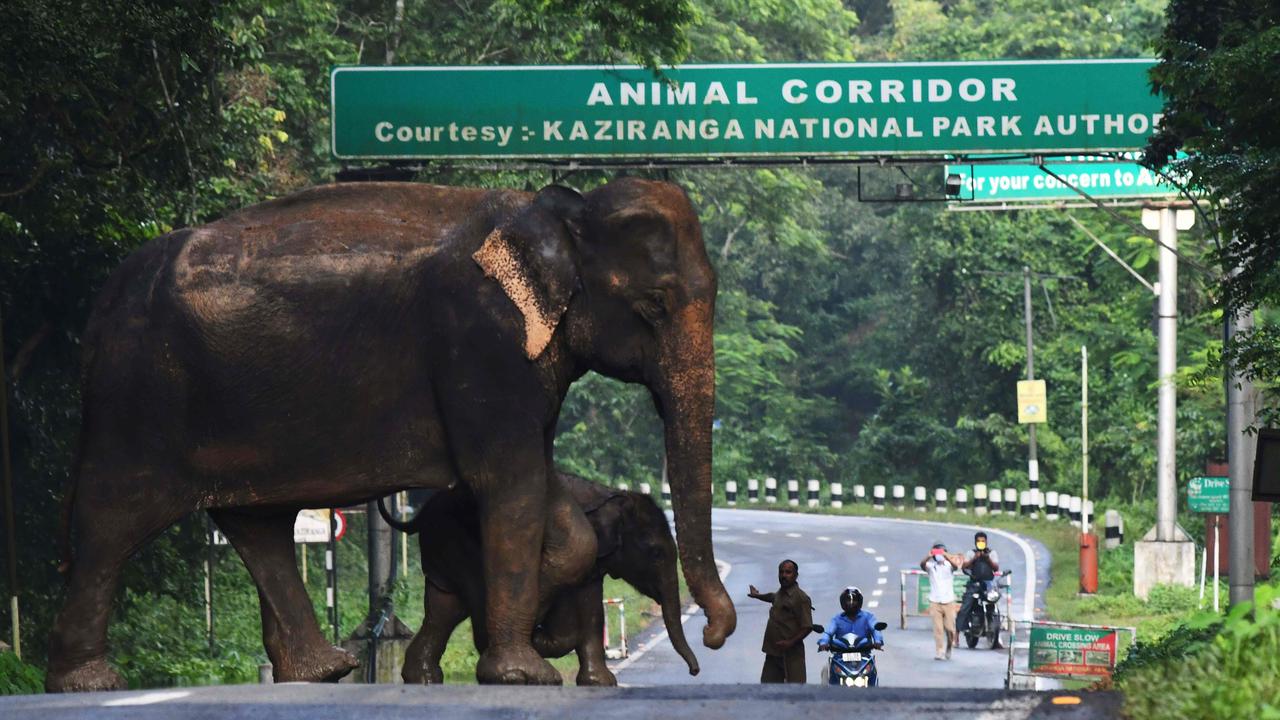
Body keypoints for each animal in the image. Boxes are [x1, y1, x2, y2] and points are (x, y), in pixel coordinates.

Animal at [378, 471, 701, 681]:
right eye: (656, 553)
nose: (694, 671)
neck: (610, 496)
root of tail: (422, 514)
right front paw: (541, 642)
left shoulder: (592, 562)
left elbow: (592, 610)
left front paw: (599, 683)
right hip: (459, 542)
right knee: (471, 599)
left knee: (443, 610)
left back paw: (424, 678)